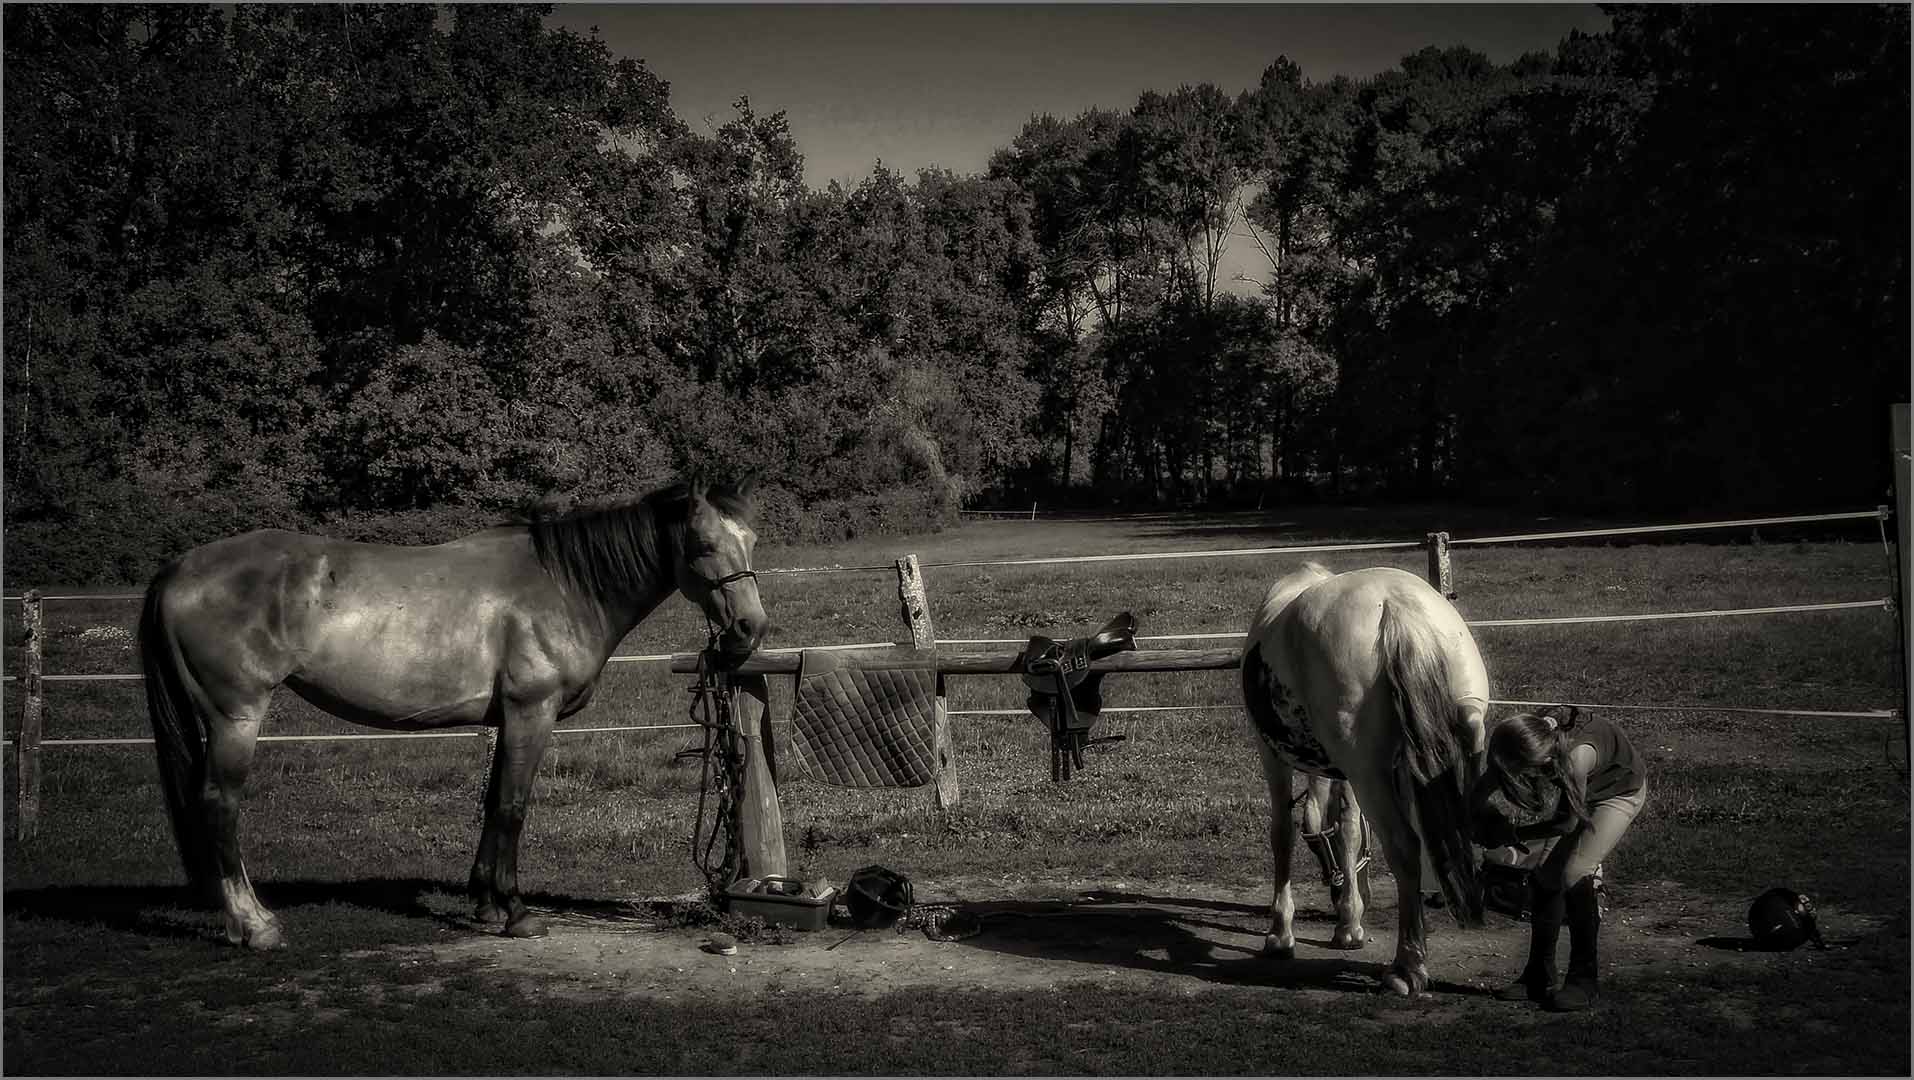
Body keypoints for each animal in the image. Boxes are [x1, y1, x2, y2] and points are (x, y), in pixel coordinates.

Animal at [143, 478, 769, 945]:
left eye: (752, 541)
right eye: (703, 545)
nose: (750, 628)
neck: (564, 586)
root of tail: (179, 567)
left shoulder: (506, 722)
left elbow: (492, 805)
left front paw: (486, 904)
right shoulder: (531, 713)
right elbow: (514, 807)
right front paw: (516, 913)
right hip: (235, 718)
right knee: (218, 806)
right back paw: (255, 924)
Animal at [1240, 566, 1492, 995]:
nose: (1333, 885)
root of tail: (1399, 607)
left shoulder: (1272, 755)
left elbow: (1283, 835)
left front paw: (1280, 934)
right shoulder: (1348, 774)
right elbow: (1348, 832)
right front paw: (1349, 923)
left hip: (1368, 772)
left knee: (1404, 847)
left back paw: (1407, 967)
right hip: (1451, 757)